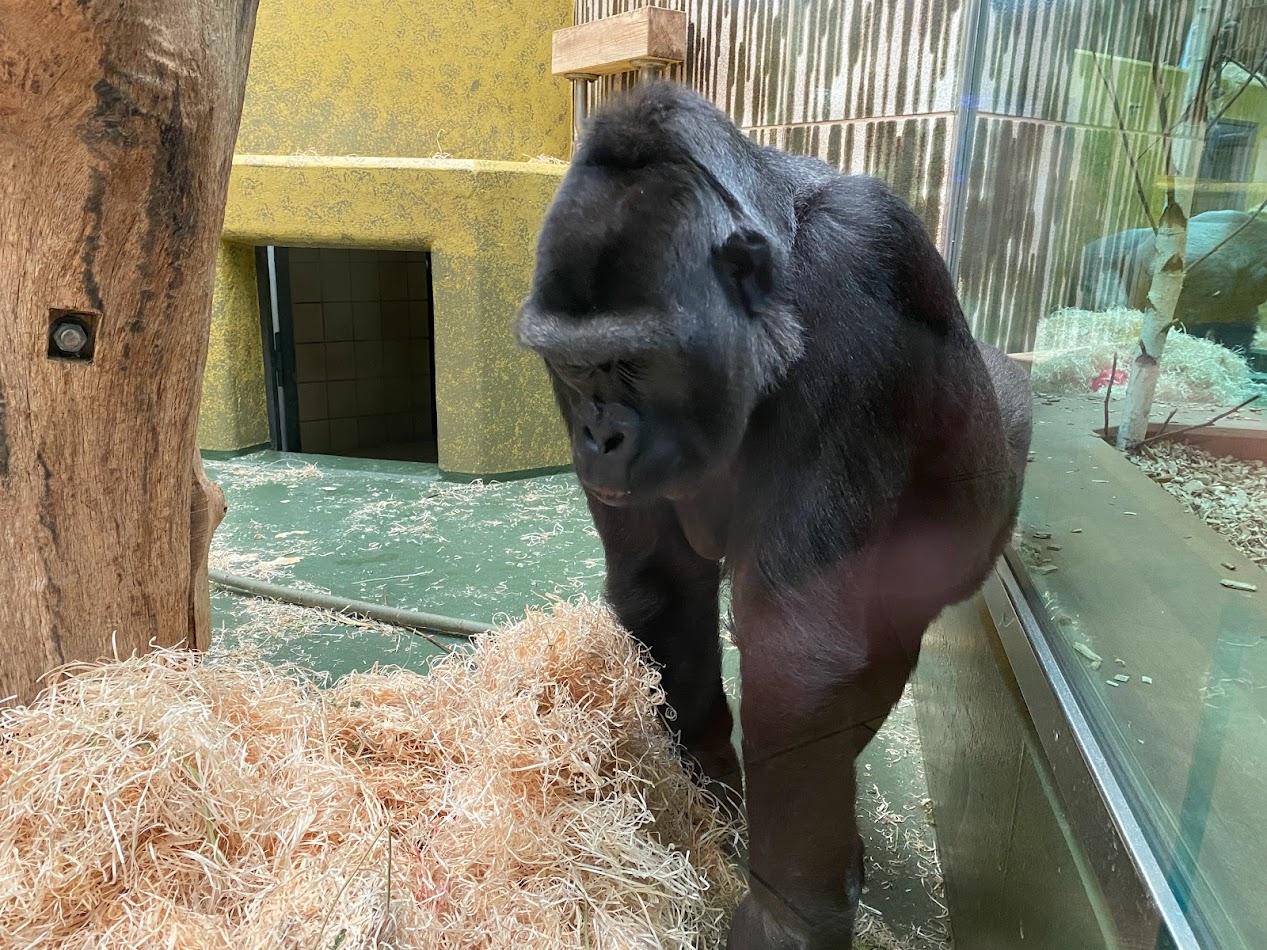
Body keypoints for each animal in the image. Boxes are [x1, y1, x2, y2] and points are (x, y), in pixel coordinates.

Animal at [516, 81, 1033, 950]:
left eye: (636, 362)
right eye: (573, 365)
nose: (599, 437)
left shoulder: (858, 268)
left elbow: (801, 655)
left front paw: (786, 914)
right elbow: (663, 590)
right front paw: (708, 790)